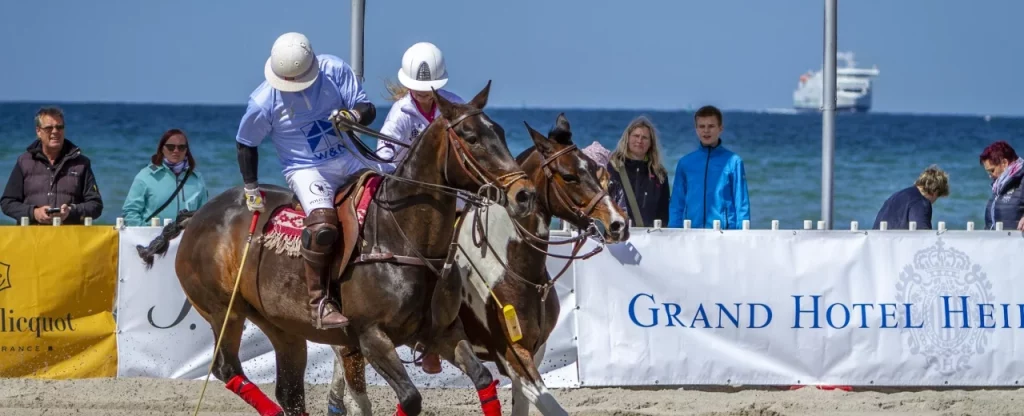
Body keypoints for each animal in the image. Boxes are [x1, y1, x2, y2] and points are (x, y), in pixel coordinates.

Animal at [137, 81, 540, 416]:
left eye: (499, 132)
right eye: (471, 137)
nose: (525, 194)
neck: (403, 236)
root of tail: (199, 215)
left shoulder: (442, 332)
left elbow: (483, 379)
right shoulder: (371, 337)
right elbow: (410, 398)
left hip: (282, 326)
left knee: (289, 391)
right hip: (223, 310)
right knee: (228, 369)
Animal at [327, 113, 630, 416]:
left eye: (596, 170)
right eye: (569, 176)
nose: (618, 223)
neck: (513, 268)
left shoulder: (535, 348)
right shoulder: (511, 354)